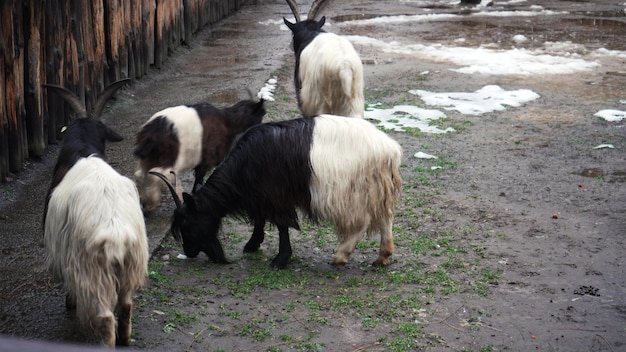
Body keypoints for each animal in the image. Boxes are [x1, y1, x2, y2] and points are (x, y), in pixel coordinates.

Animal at [43, 81, 149, 348]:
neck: (83, 149)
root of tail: (116, 236)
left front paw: (69, 304)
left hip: (91, 271)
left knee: (104, 316)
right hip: (131, 265)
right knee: (126, 305)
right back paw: (125, 340)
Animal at [133, 97, 264, 212]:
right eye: (260, 116)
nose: (260, 128)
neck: (229, 121)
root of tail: (151, 132)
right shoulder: (207, 158)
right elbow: (199, 178)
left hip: (149, 158)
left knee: (140, 174)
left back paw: (147, 203)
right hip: (168, 158)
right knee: (155, 175)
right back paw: (152, 202)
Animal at [151, 114, 400, 268]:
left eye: (187, 223)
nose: (189, 251)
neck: (245, 165)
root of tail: (388, 149)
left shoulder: (277, 196)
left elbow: (281, 225)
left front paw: (280, 259)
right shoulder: (262, 197)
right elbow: (260, 219)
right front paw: (253, 244)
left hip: (351, 192)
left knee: (361, 222)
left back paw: (341, 255)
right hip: (377, 190)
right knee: (385, 218)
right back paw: (383, 256)